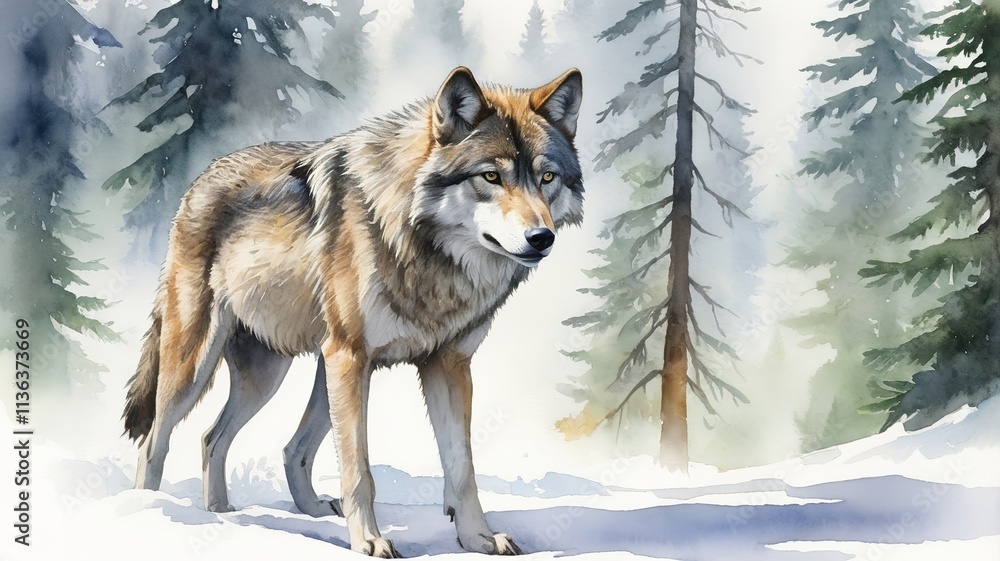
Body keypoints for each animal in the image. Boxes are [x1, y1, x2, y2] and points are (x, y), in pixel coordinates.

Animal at [122, 66, 583, 557]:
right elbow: (359, 470)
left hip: (279, 376)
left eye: (548, 177)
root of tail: (200, 179)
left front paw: (477, 538)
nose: (541, 238)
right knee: (154, 441)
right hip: (200, 367)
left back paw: (229, 516)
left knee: (235, 441)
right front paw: (370, 541)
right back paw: (149, 514)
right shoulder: (351, 357)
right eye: (491, 176)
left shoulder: (448, 363)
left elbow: (462, 468)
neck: (421, 248)